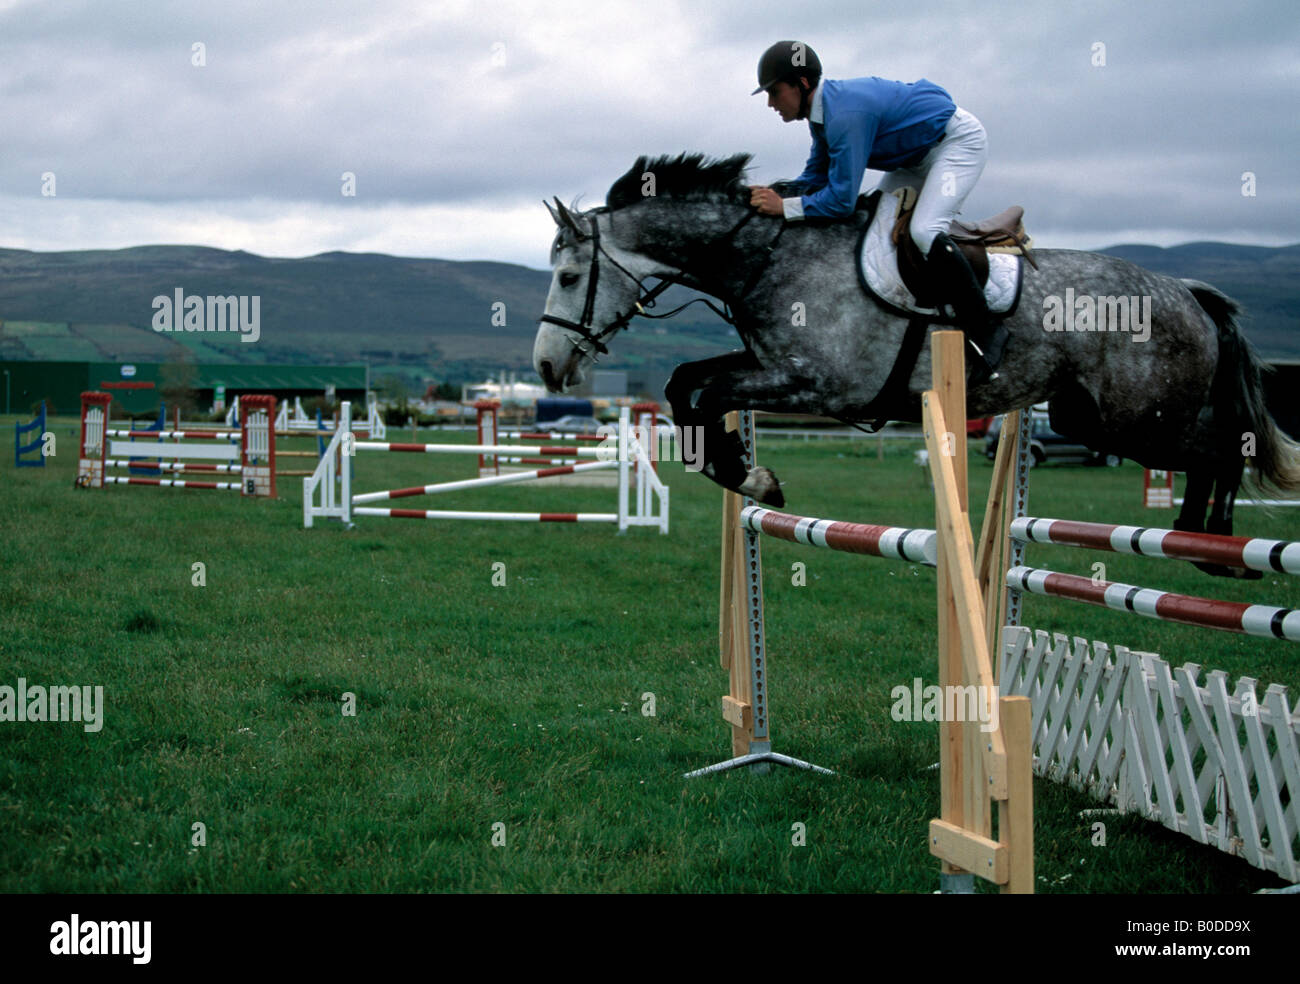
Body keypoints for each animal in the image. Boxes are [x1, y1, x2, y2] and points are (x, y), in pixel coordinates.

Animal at [533, 149, 1294, 571]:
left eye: (568, 277)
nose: (545, 367)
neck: (770, 256)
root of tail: (1185, 290)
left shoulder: (820, 386)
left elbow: (704, 393)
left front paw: (755, 477)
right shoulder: (770, 366)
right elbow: (685, 384)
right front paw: (745, 472)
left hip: (1136, 418)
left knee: (1222, 445)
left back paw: (1223, 552)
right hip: (1095, 417)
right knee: (1211, 450)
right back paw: (1198, 542)